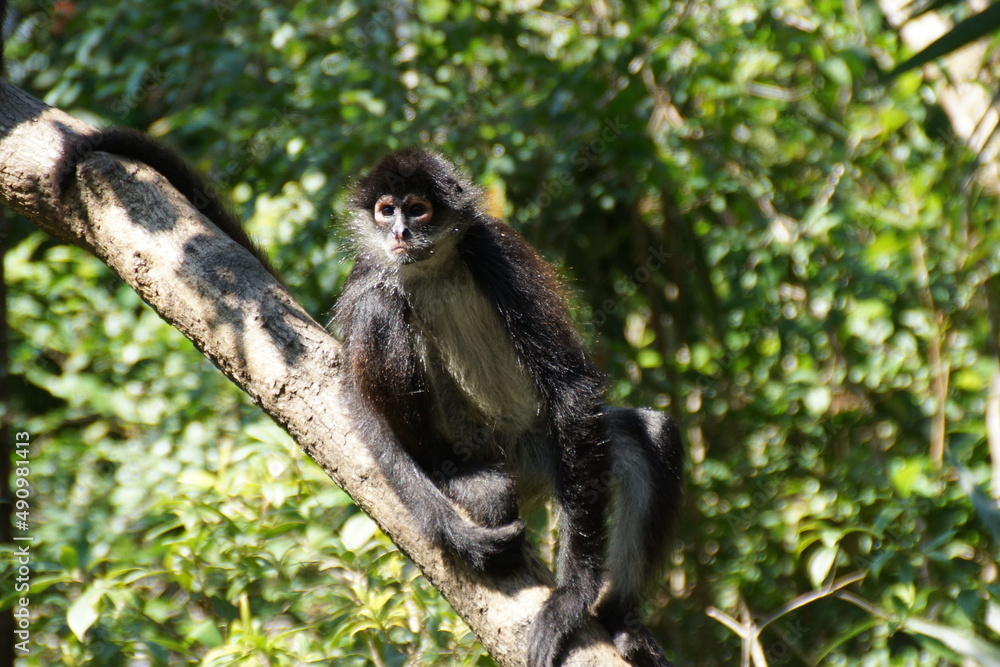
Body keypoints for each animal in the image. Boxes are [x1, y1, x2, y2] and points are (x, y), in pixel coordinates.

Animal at [335, 148, 683, 667]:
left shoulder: (494, 250)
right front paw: (454, 534)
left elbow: (572, 387)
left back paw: (620, 622)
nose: (399, 233)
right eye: (385, 211)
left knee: (652, 435)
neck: (430, 269)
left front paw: (571, 598)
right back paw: (453, 475)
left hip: (538, 451)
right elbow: (357, 407)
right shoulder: (365, 272)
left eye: (416, 209)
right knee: (380, 308)